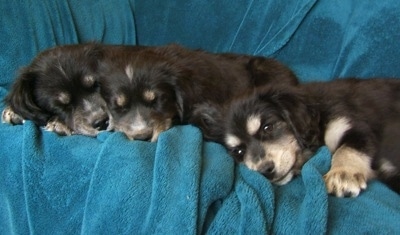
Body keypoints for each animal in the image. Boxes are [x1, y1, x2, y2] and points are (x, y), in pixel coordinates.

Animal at [223, 77, 400, 196]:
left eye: (268, 127)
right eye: (239, 151)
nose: (265, 171)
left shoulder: (355, 126)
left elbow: (346, 149)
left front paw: (342, 175)